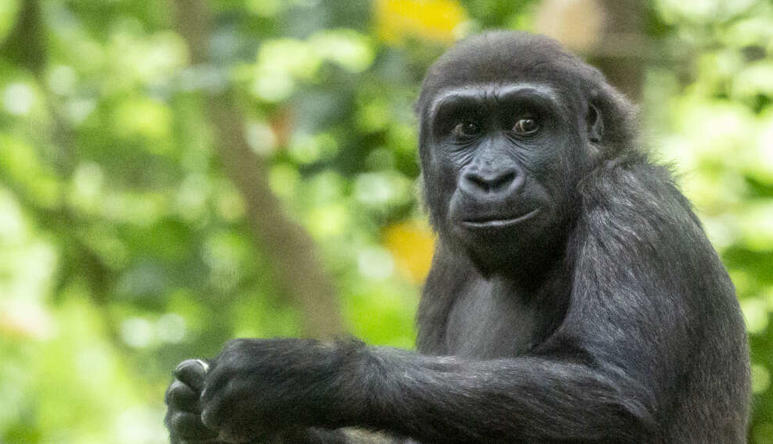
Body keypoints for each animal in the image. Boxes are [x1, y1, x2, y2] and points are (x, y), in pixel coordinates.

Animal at [163, 32, 748, 444]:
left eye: (527, 124)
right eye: (465, 128)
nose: (490, 178)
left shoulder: (632, 203)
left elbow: (611, 392)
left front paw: (310, 375)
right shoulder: (446, 266)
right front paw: (267, 427)